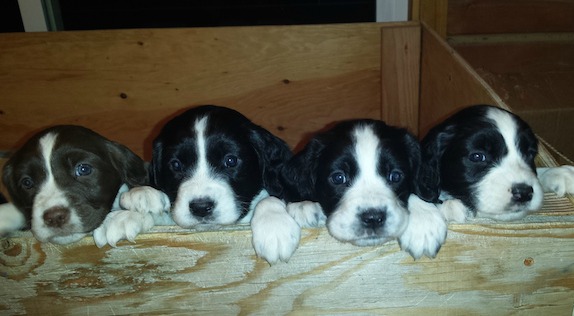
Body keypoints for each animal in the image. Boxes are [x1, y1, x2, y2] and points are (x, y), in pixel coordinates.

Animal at [120, 105, 294, 231]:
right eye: (176, 165)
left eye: (231, 161)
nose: (201, 208)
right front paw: (139, 196)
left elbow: (269, 199)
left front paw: (275, 226)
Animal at [253, 118, 450, 262]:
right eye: (338, 178)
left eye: (395, 176)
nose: (373, 218)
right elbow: (271, 197)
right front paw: (275, 227)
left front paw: (424, 223)